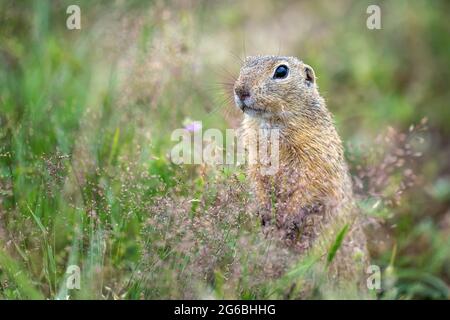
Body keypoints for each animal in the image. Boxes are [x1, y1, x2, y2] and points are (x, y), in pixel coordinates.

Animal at [234, 56, 368, 282]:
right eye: (245, 64)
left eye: (281, 71)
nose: (240, 90)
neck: (271, 123)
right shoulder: (254, 157)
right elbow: (257, 179)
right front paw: (264, 212)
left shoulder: (315, 157)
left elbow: (309, 187)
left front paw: (285, 218)